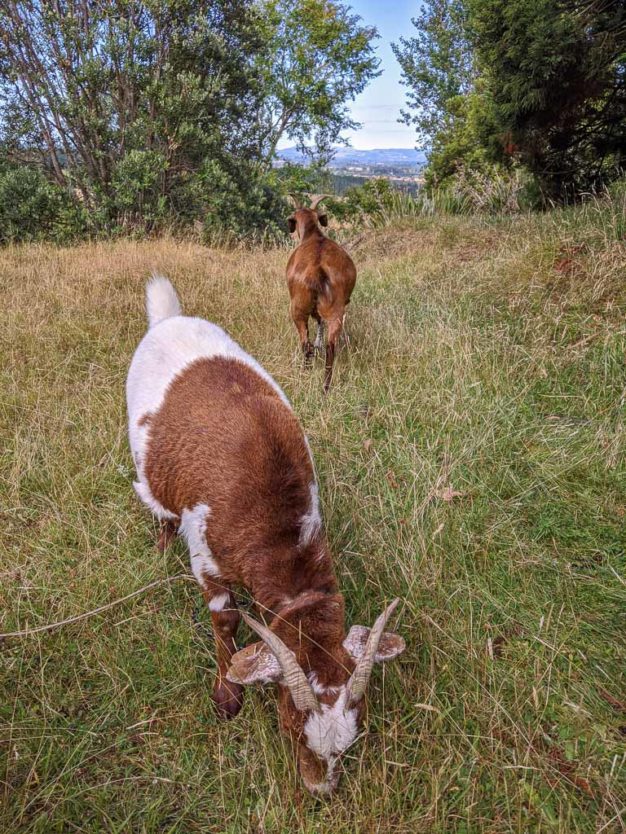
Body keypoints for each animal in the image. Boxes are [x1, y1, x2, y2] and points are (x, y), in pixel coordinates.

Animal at [125, 276, 404, 788]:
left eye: (353, 736)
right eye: (291, 724)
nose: (320, 788)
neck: (274, 527)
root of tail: (170, 317)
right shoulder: (206, 558)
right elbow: (226, 620)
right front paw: (226, 696)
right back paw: (161, 538)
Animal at [286, 194, 356, 390]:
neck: (313, 236)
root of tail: (317, 270)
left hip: (297, 309)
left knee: (306, 344)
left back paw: (306, 373)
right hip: (335, 311)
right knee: (330, 347)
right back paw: (325, 387)